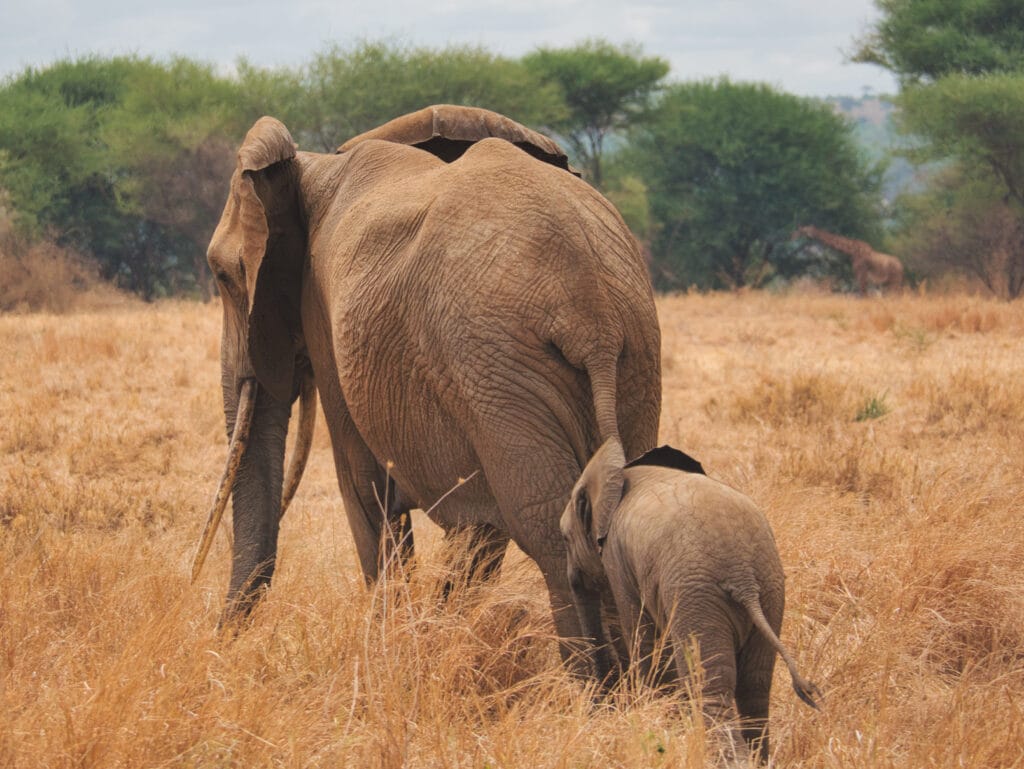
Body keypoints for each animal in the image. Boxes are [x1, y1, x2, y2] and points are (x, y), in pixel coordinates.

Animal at [190, 105, 662, 665]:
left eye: (222, 276)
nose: (214, 642)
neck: (311, 166)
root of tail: (591, 314)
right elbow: (477, 530)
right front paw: (435, 635)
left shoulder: (325, 315)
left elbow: (364, 488)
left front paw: (393, 649)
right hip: (625, 357)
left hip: (495, 365)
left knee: (547, 528)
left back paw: (593, 686)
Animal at [560, 440, 820, 762]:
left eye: (565, 538)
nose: (600, 705)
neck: (616, 472)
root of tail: (744, 576)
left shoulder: (618, 561)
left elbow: (643, 637)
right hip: (770, 590)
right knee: (755, 685)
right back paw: (757, 759)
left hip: (699, 596)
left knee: (709, 685)